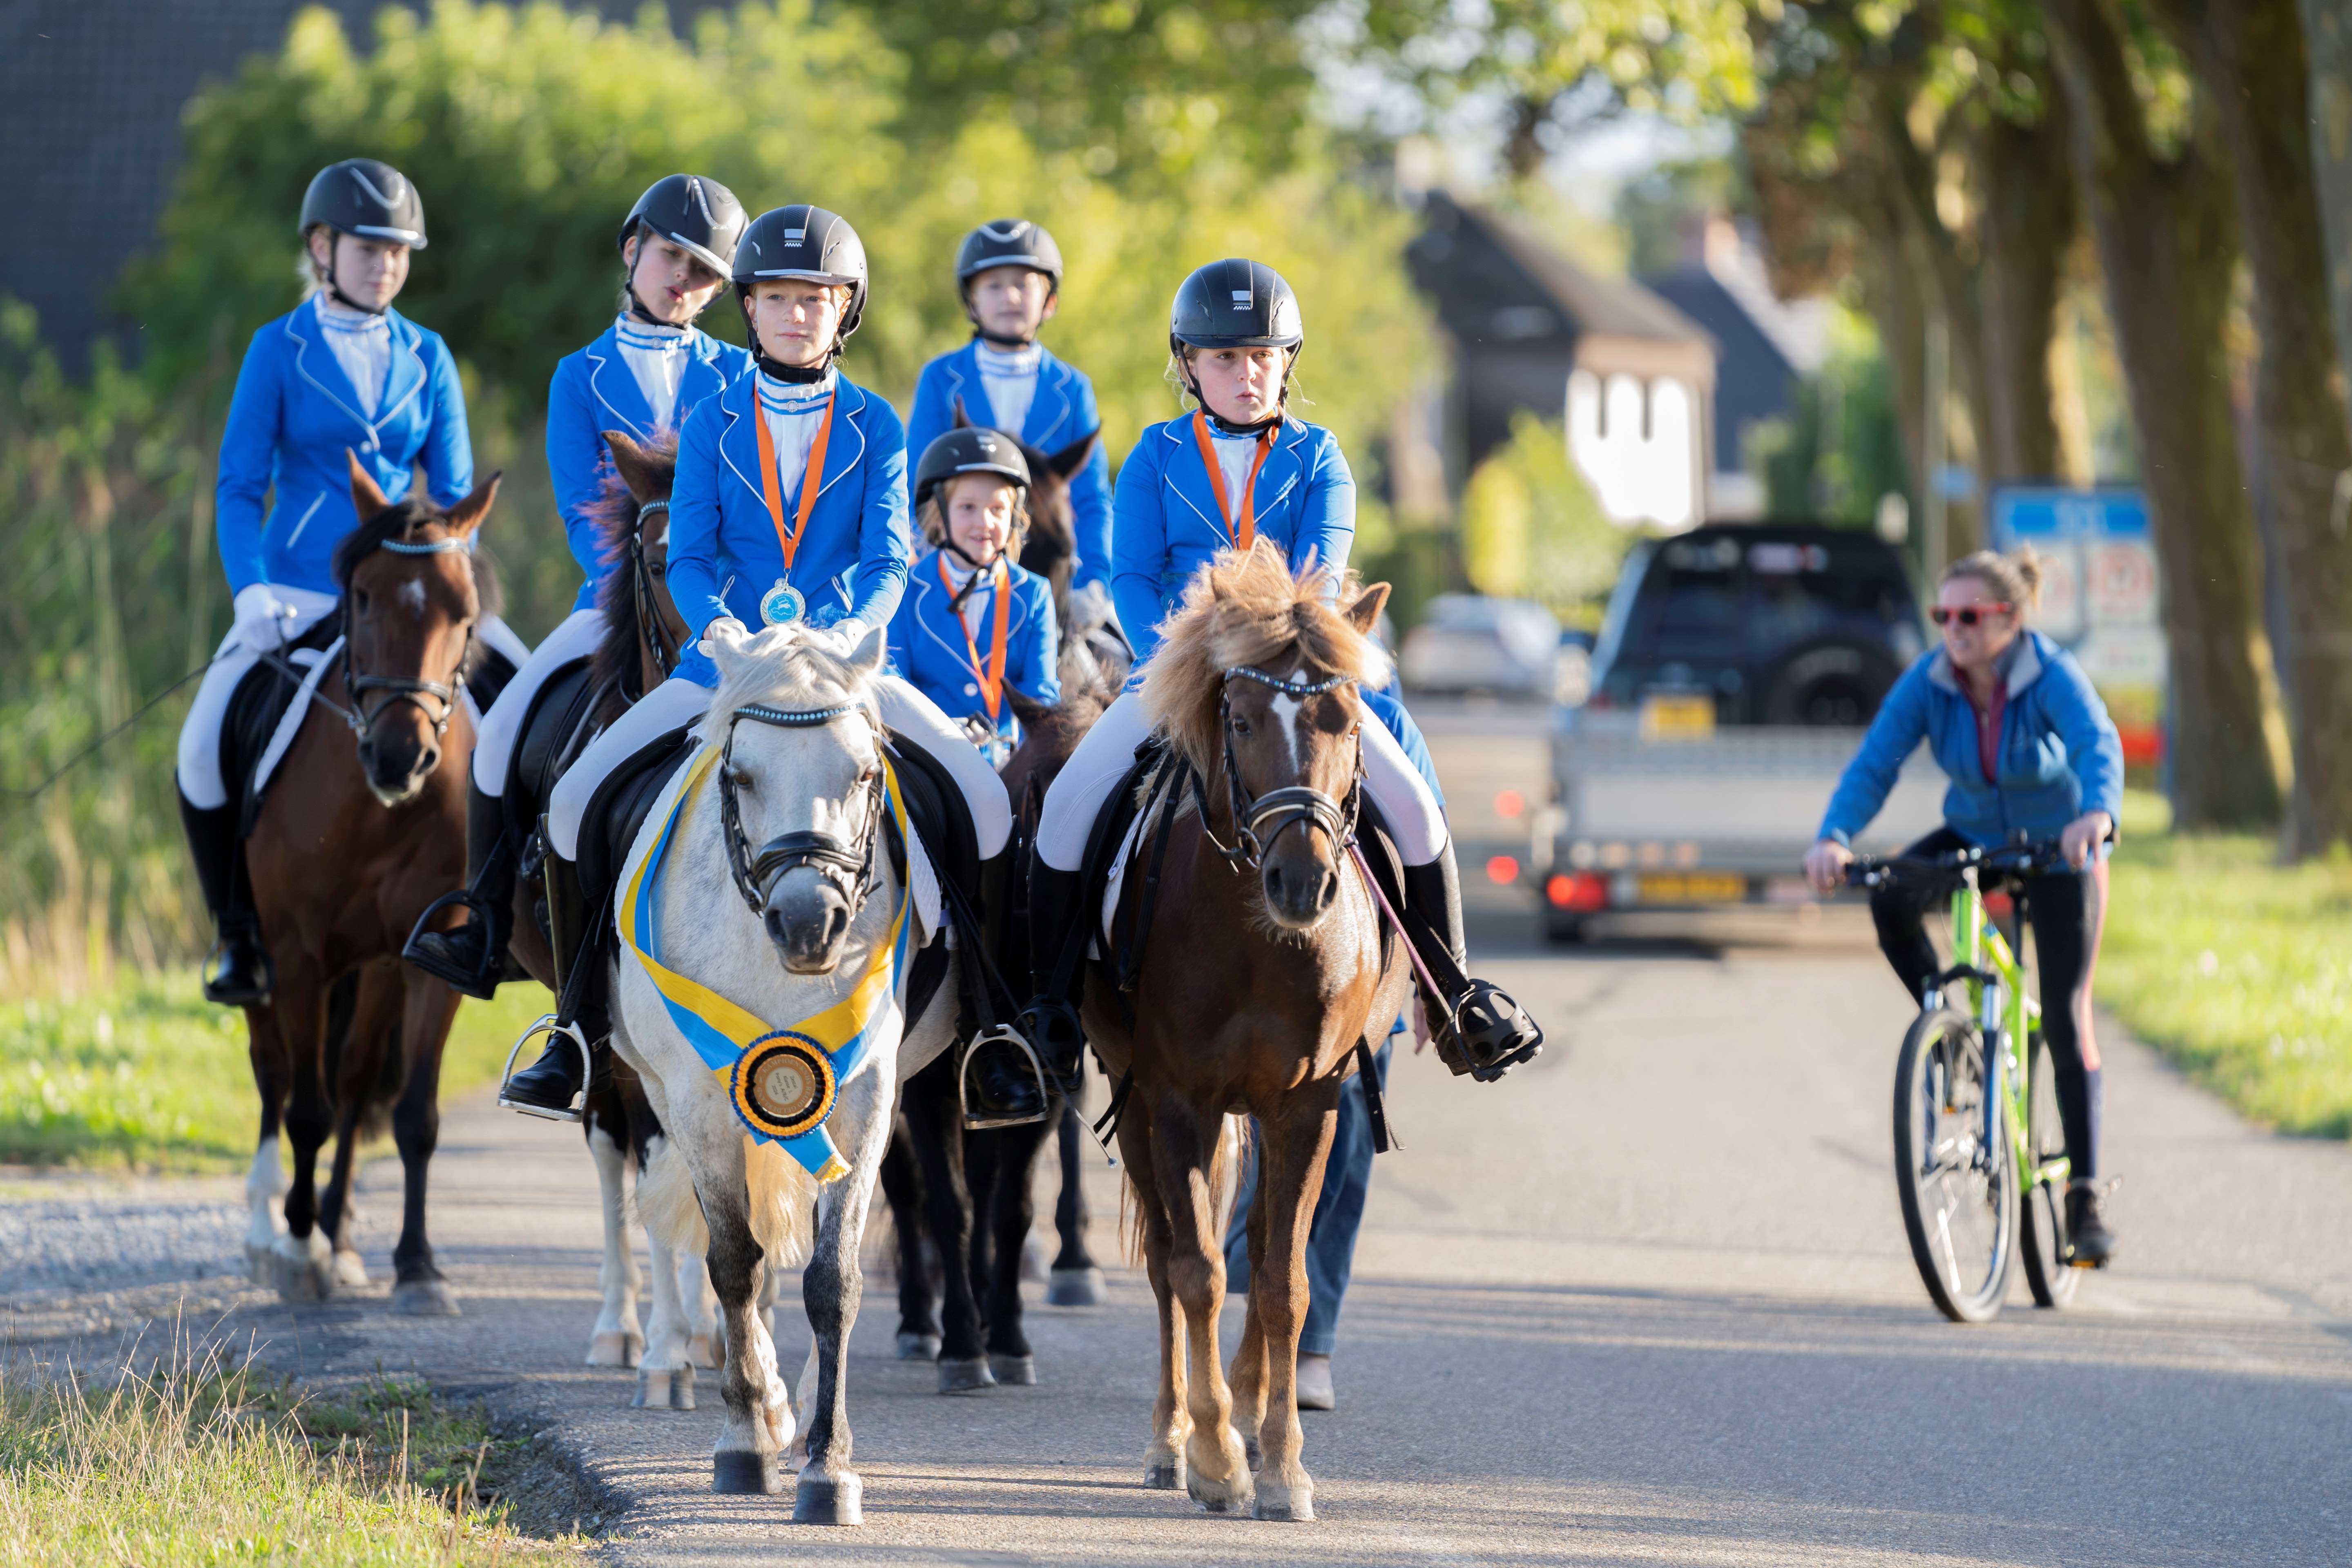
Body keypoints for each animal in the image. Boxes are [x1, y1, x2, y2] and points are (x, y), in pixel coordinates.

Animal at [239, 455, 502, 1314]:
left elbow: (411, 1111)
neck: (377, 811)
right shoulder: (297, 955)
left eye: (465, 611)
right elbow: (306, 1107)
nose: (399, 756)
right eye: (360, 595)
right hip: (263, 963)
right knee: (274, 1071)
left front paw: (416, 1264)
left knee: (353, 1080)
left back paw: (341, 1229)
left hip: (376, 966)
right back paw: (270, 1227)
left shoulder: (423, 956)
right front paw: (298, 1247)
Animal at [606, 619, 962, 1523]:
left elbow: (833, 1278)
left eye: (867, 771)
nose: (809, 922)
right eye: (741, 775)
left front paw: (827, 1464)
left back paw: (791, 1406)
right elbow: (733, 1259)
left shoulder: (864, 1097)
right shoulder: (697, 1100)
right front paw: (743, 1440)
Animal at [1084, 542, 1410, 1521]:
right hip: (1134, 1101)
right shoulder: (1177, 1099)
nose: (1300, 882)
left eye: (1346, 715)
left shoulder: (1307, 1103)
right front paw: (1216, 1455)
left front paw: (1282, 1462)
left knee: (1260, 1250)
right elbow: (1197, 1269)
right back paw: (1171, 1439)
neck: (1261, 939)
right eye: (1235, 715)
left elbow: (1281, 1279)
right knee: (1166, 1260)